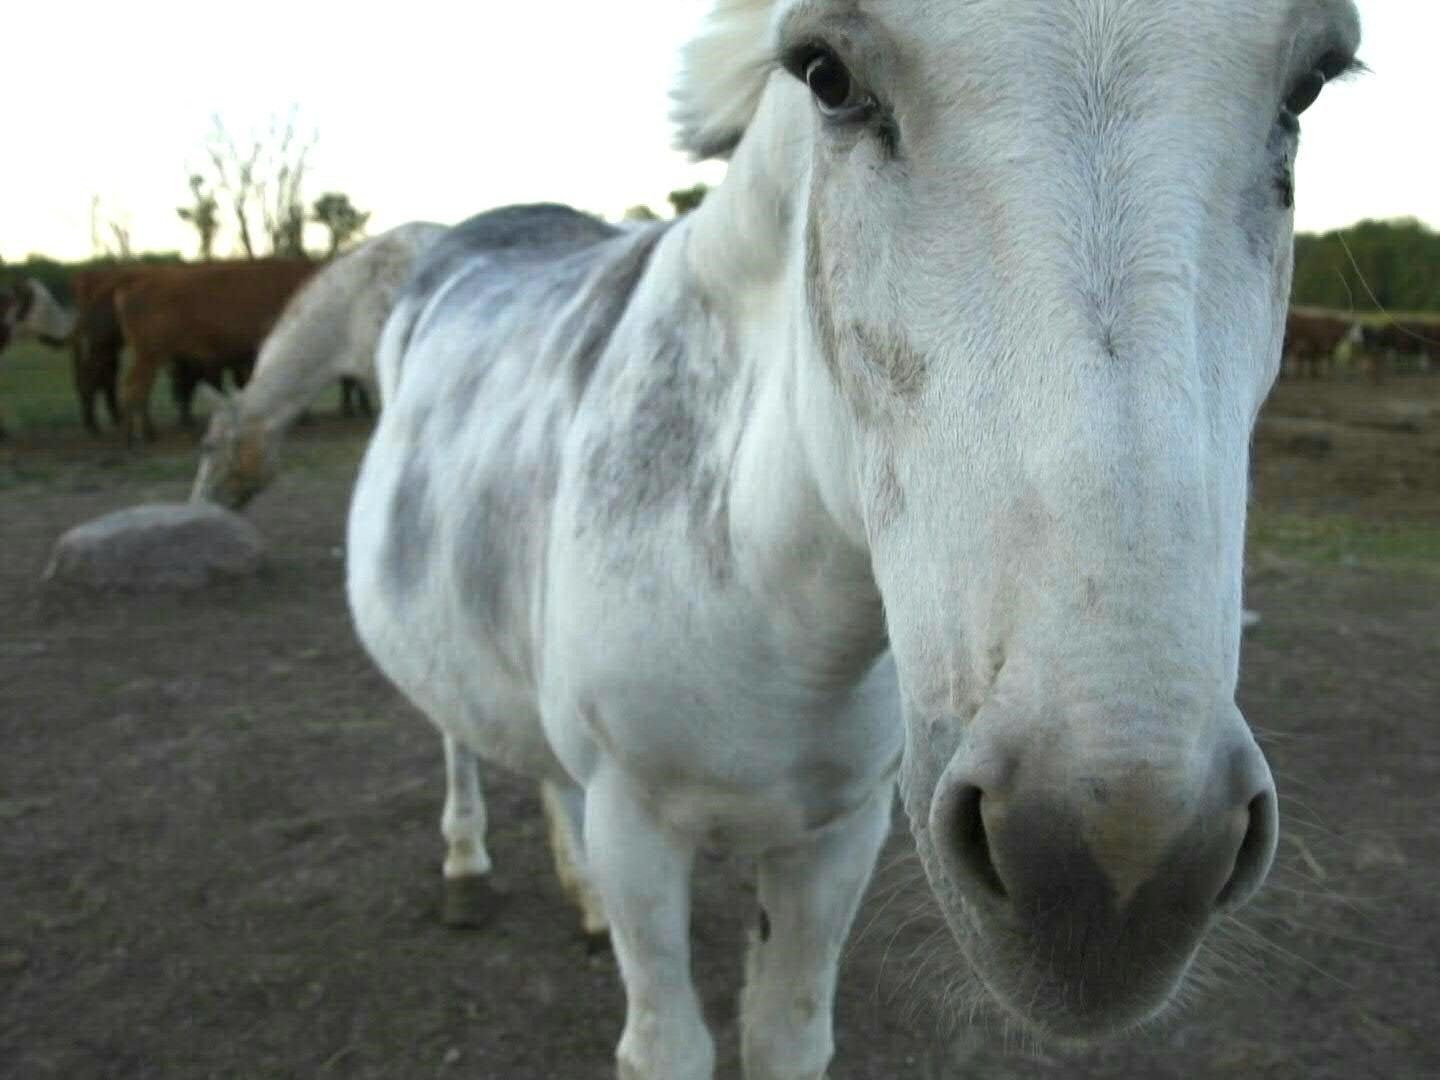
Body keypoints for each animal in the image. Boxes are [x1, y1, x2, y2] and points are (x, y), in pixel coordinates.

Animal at [113, 259, 318, 443]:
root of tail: (137, 284)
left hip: (152, 357)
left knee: (140, 389)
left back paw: (146, 433)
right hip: (149, 355)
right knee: (133, 388)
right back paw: (130, 438)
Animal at [342, 4, 1353, 1077]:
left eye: (1312, 83)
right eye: (825, 75)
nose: (1113, 870)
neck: (766, 601)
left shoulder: (837, 834)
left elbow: (786, 1032)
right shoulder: (637, 826)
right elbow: (669, 1043)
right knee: (456, 729)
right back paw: (465, 865)